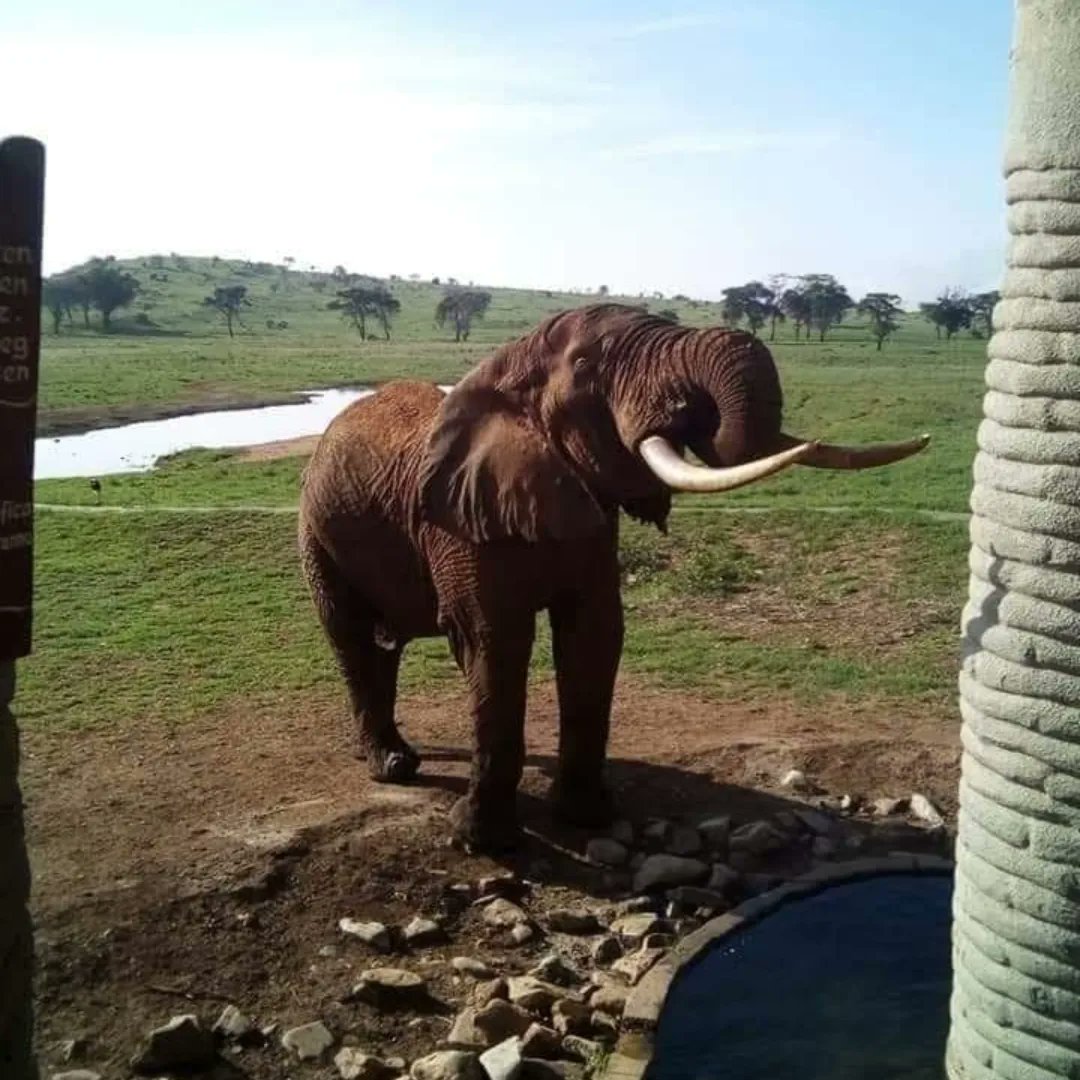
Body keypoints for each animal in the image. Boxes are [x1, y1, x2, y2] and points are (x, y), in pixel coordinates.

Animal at [298, 302, 928, 852]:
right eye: (585, 366)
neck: (510, 366)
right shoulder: (459, 523)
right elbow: (494, 643)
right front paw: (484, 842)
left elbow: (594, 635)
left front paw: (588, 817)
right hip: (316, 529)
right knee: (352, 637)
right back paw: (392, 766)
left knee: (382, 646)